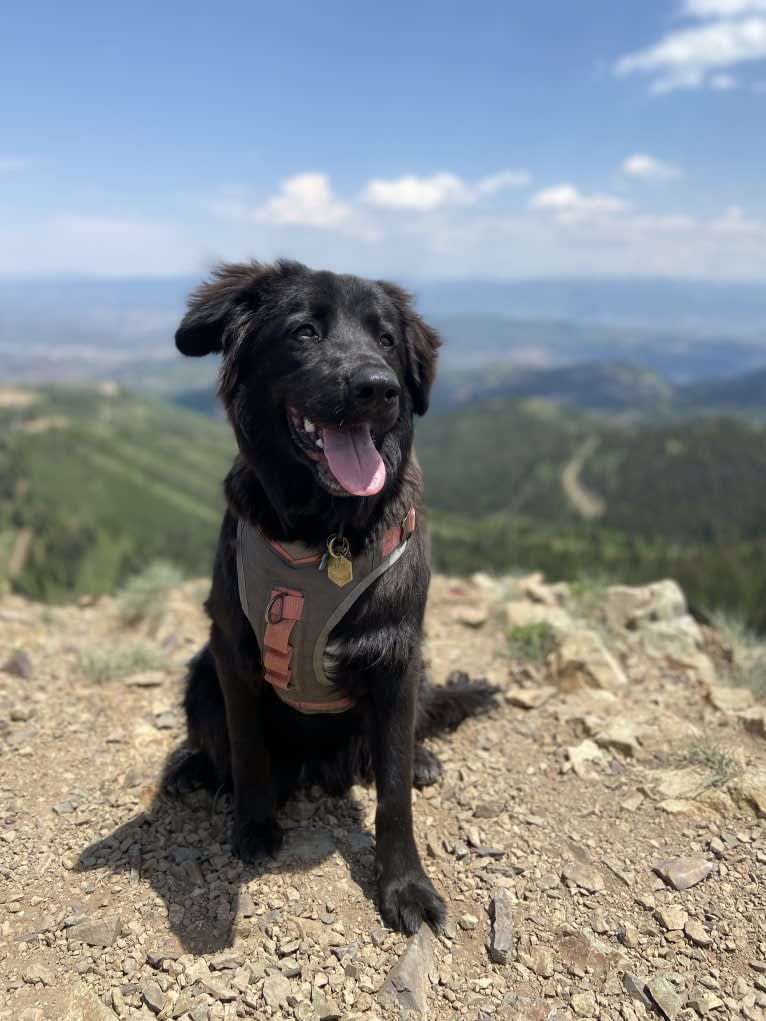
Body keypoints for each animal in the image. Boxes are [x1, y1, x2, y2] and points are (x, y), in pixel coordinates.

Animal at [167, 261, 498, 935]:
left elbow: (393, 794)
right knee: (216, 739)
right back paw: (194, 769)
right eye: (305, 332)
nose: (378, 388)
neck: (327, 533)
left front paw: (405, 887)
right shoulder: (232, 651)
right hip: (199, 671)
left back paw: (422, 758)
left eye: (387, 341)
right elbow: (248, 750)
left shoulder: (398, 660)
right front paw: (254, 826)